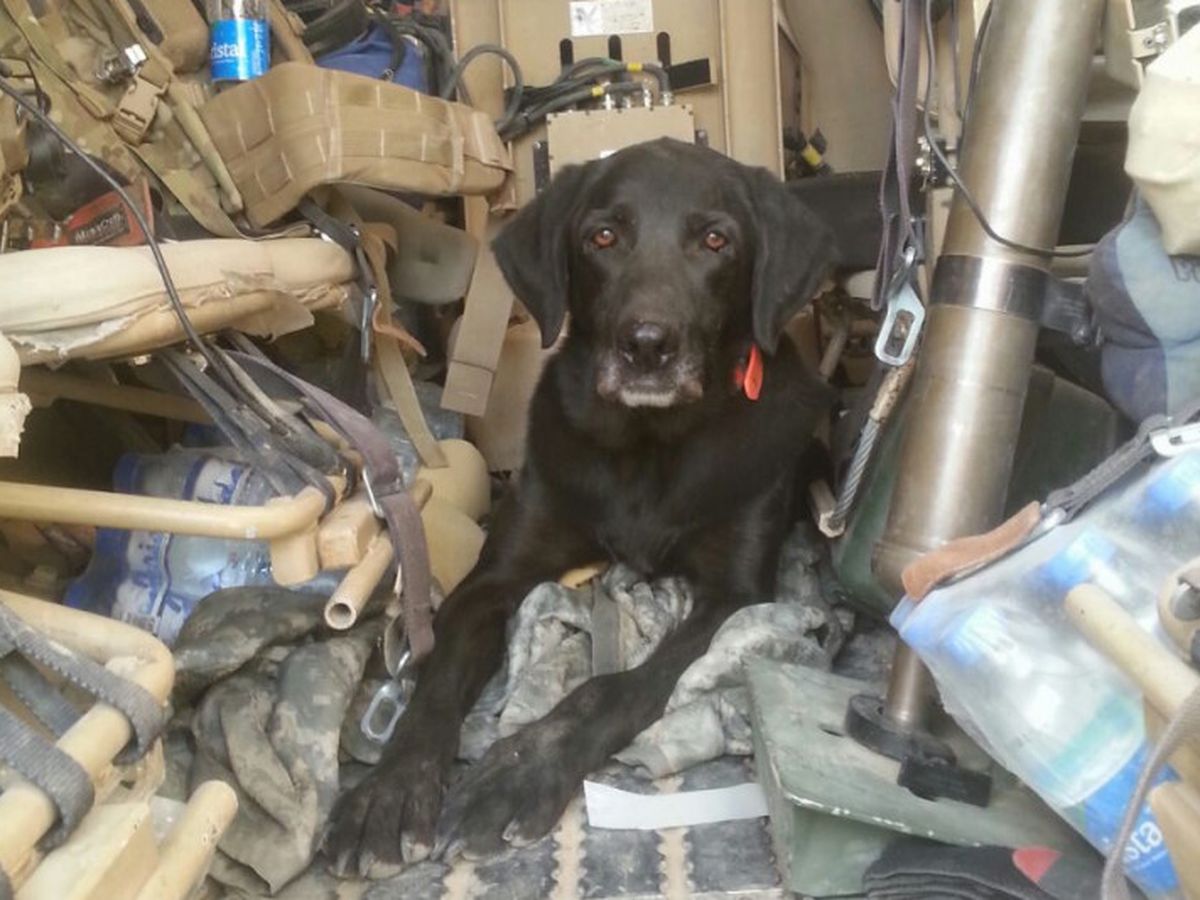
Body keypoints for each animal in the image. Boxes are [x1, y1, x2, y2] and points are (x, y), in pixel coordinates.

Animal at [324, 138, 836, 877]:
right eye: (603, 237)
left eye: (716, 240)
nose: (647, 346)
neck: (650, 445)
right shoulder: (496, 577)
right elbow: (434, 685)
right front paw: (389, 790)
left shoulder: (732, 598)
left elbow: (610, 689)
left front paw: (518, 771)